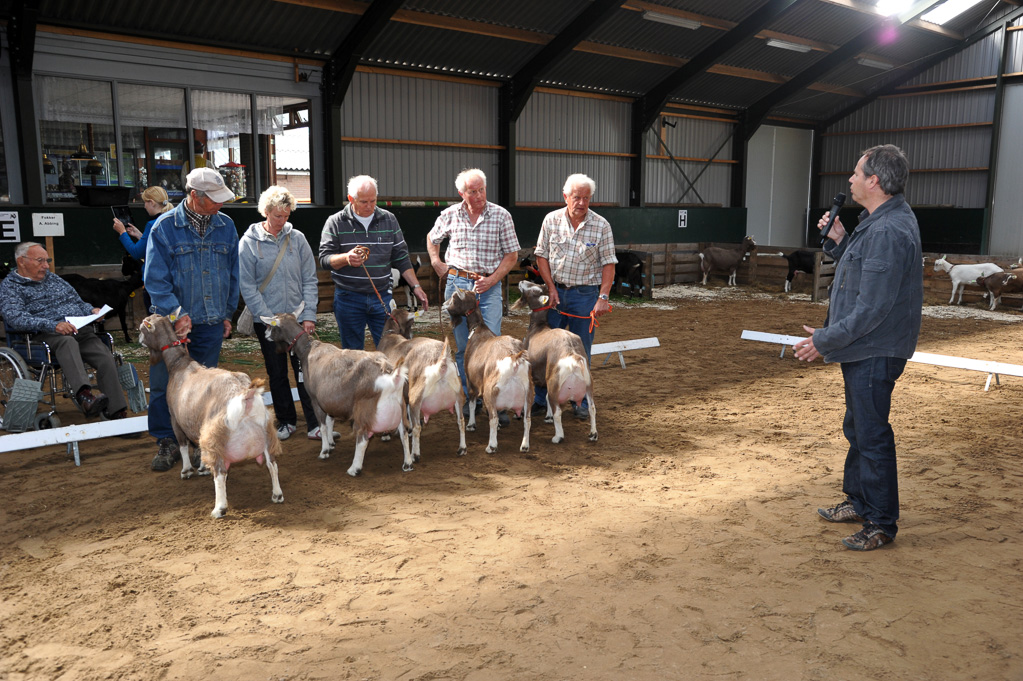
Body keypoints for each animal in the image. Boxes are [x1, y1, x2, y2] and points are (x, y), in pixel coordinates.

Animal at [138, 310, 284, 517]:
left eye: (143, 328)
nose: (139, 339)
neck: (179, 364)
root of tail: (245, 395)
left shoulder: (175, 419)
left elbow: (183, 446)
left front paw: (187, 470)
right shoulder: (198, 425)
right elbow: (198, 446)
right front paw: (201, 467)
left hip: (217, 436)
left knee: (221, 473)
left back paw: (219, 508)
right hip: (266, 433)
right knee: (272, 464)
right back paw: (277, 494)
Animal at [259, 300, 411, 474]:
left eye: (271, 325)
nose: (265, 335)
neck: (308, 349)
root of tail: (385, 367)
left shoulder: (315, 400)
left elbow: (323, 425)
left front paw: (324, 450)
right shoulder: (329, 398)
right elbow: (330, 420)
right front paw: (331, 443)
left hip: (365, 407)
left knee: (363, 436)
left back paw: (354, 468)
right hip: (399, 404)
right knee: (404, 432)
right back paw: (407, 463)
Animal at [380, 306, 468, 456]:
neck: (391, 337)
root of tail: (441, 360)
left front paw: (386, 434)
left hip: (417, 395)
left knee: (417, 427)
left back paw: (415, 454)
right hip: (458, 393)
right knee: (460, 420)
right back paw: (462, 448)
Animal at [443, 284, 531, 449]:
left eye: (454, 297)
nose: (444, 305)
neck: (478, 329)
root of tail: (514, 357)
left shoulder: (471, 380)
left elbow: (472, 402)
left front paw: (471, 424)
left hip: (490, 390)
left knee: (493, 418)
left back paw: (491, 446)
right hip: (528, 392)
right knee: (527, 419)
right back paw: (524, 445)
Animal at [511, 278, 597, 443]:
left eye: (535, 290)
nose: (522, 281)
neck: (538, 327)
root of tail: (572, 353)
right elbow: (543, 395)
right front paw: (548, 416)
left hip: (554, 382)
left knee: (558, 411)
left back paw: (558, 437)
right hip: (587, 384)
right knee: (592, 408)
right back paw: (593, 434)